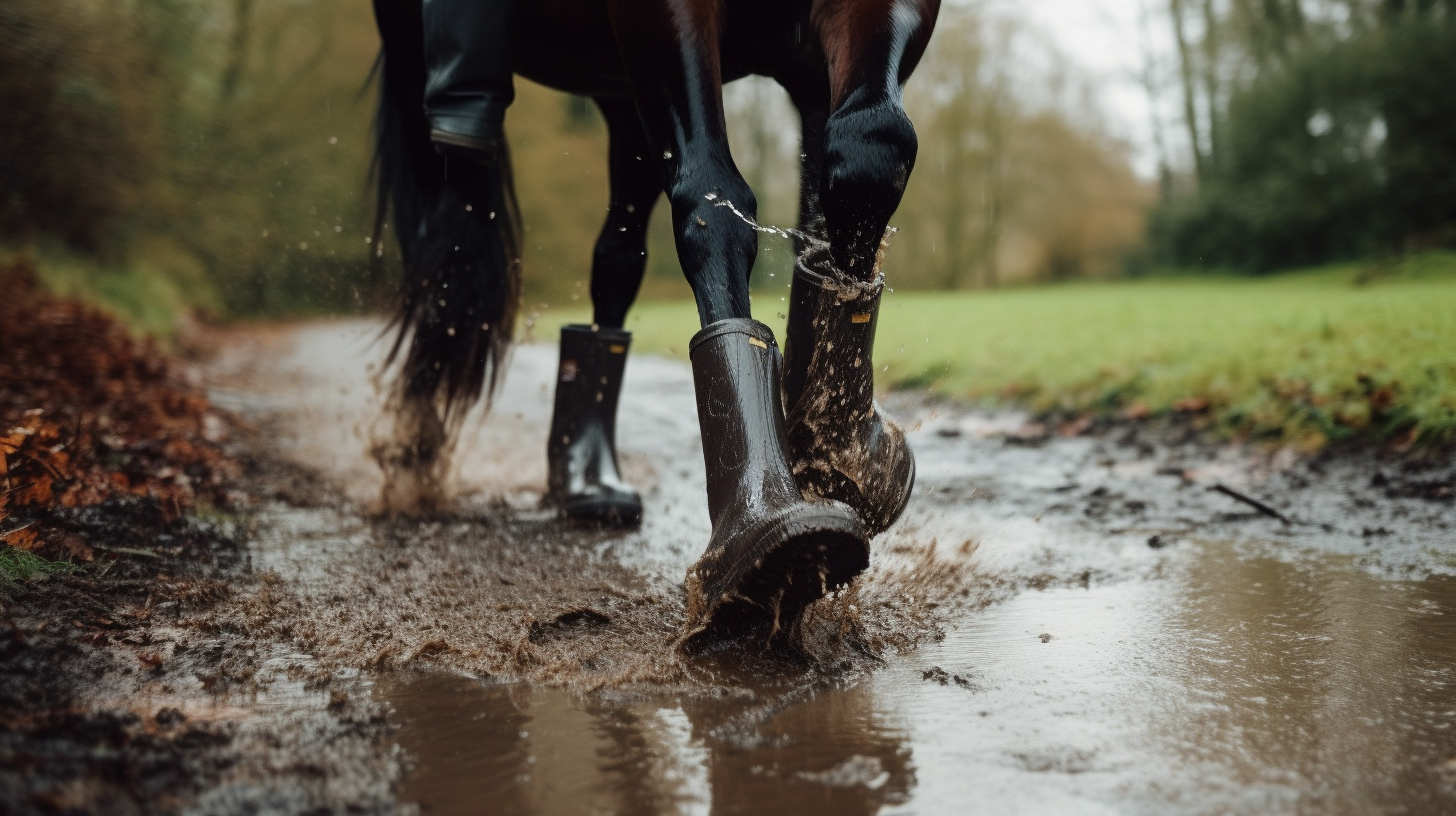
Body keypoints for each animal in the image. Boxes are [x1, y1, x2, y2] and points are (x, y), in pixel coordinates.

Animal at [369, 0, 937, 649]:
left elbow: (867, 158)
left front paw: (847, 460)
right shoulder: (659, 15)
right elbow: (713, 203)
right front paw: (759, 532)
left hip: (621, 94)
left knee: (613, 262)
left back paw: (586, 482)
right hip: (420, 73)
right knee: (448, 252)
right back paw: (414, 452)